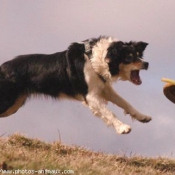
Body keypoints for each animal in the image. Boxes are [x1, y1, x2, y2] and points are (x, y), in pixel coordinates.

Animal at [0, 36, 151, 134]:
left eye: (139, 55)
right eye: (129, 57)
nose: (147, 63)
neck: (96, 59)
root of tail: (2, 68)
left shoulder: (104, 89)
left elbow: (125, 103)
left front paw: (142, 117)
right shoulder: (90, 96)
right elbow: (109, 112)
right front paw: (122, 128)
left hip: (14, 104)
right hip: (8, 101)